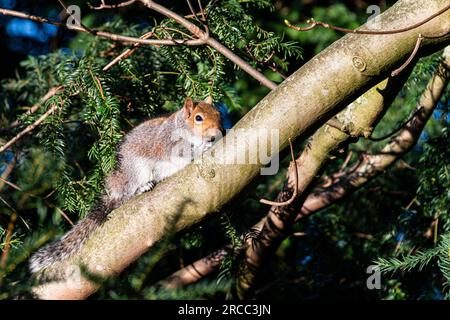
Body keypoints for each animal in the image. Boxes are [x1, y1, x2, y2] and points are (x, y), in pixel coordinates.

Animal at [29, 96, 222, 274]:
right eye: (198, 118)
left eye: (218, 114)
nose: (219, 131)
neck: (183, 127)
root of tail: (114, 188)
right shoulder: (170, 144)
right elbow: (184, 154)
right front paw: (203, 148)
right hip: (136, 171)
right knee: (126, 197)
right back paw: (141, 189)